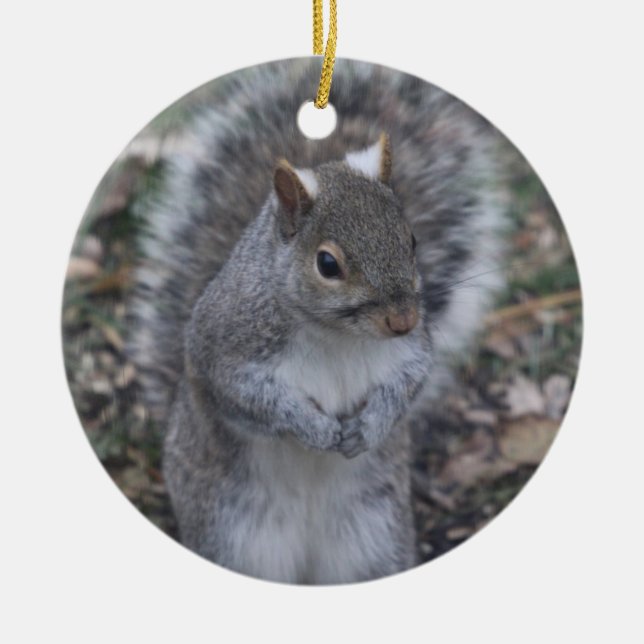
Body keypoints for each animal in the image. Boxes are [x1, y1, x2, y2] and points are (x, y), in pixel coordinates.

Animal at [128, 58, 506, 584]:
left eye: (411, 241)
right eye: (327, 264)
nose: (404, 320)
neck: (337, 335)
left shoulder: (411, 351)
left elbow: (408, 383)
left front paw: (370, 426)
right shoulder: (224, 349)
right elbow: (252, 399)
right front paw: (315, 430)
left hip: (373, 538)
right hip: (234, 537)